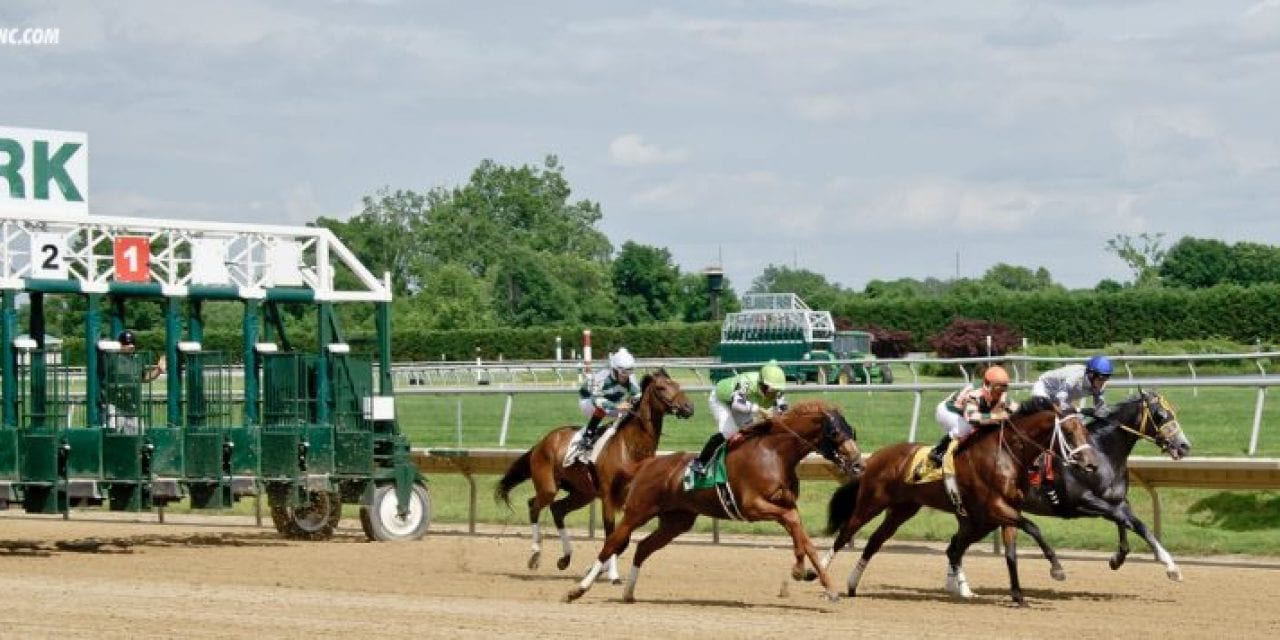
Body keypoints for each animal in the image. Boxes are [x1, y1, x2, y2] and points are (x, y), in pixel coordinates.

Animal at [494, 366, 696, 581]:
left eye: (677, 384)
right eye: (661, 388)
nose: (689, 407)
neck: (630, 448)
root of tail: (543, 441)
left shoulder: (632, 499)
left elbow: (622, 540)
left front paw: (596, 569)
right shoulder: (608, 496)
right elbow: (611, 534)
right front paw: (612, 574)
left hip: (582, 493)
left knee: (557, 509)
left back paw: (565, 558)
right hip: (549, 485)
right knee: (534, 505)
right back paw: (535, 554)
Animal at [565, 399, 865, 604]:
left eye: (852, 430)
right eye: (835, 433)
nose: (858, 464)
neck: (774, 453)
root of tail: (647, 464)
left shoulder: (785, 504)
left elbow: (802, 536)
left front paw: (823, 583)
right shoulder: (752, 506)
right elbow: (792, 523)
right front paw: (800, 571)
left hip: (676, 521)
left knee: (643, 547)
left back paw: (628, 593)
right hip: (637, 511)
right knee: (612, 544)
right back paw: (577, 589)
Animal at [819, 396, 1100, 606]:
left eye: (1085, 430)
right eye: (1067, 432)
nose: (1091, 464)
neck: (1007, 453)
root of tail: (874, 457)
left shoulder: (1006, 510)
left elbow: (1011, 554)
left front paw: (1018, 595)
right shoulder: (996, 507)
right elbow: (1034, 527)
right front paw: (1057, 569)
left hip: (904, 510)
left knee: (876, 542)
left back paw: (853, 584)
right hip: (871, 502)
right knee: (845, 534)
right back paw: (821, 573)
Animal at [1013, 389, 1192, 581]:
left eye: (1173, 412)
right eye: (1160, 414)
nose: (1184, 446)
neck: (1103, 454)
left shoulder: (1117, 500)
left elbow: (1136, 524)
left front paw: (1123, 559)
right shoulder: (1082, 501)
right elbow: (1124, 519)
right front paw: (1168, 565)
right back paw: (1055, 567)